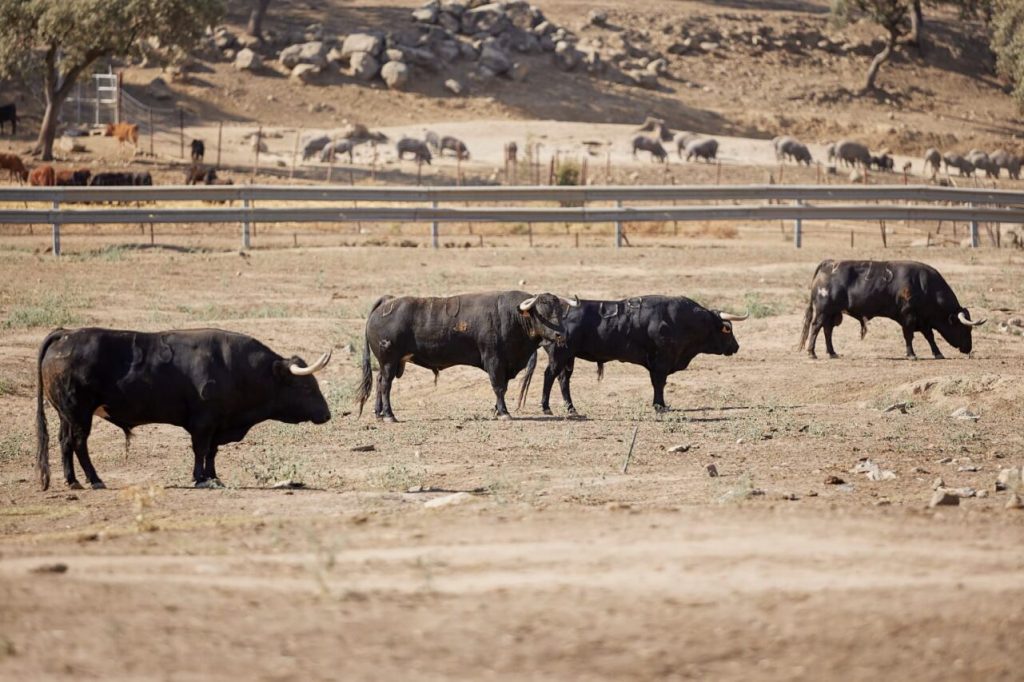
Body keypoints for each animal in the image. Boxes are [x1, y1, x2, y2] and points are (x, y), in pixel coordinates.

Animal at [35, 325, 331, 489]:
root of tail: (65, 334)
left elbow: (211, 452)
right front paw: (200, 478)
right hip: (80, 414)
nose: (326, 414)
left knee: (64, 442)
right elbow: (200, 450)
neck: (235, 368)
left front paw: (213, 476)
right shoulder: (203, 422)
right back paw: (94, 479)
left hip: (67, 415)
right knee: (79, 443)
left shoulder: (217, 424)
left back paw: (72, 481)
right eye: (306, 386)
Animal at [356, 290, 577, 419]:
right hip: (389, 361)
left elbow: (503, 388)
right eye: (542, 313)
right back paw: (389, 415)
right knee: (385, 384)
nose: (561, 334)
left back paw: (378, 413)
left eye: (560, 311)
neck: (512, 317)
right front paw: (503, 412)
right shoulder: (494, 360)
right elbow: (498, 387)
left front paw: (496, 409)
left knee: (379, 381)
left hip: (388, 363)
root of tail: (387, 303)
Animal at [516, 292, 749, 411]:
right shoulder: (660, 362)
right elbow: (659, 383)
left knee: (563, 379)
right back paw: (546, 407)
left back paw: (571, 407)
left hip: (568, 358)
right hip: (559, 355)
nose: (736, 347)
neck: (680, 320)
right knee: (549, 376)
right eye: (728, 330)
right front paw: (660, 405)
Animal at [794, 258, 987, 358]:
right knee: (816, 327)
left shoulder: (923, 320)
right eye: (965, 328)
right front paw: (911, 354)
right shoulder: (908, 317)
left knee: (827, 330)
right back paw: (812, 352)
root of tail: (829, 264)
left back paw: (832, 352)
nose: (968, 348)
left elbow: (930, 336)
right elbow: (909, 336)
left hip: (832, 313)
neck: (925, 286)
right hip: (823, 311)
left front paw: (937, 353)